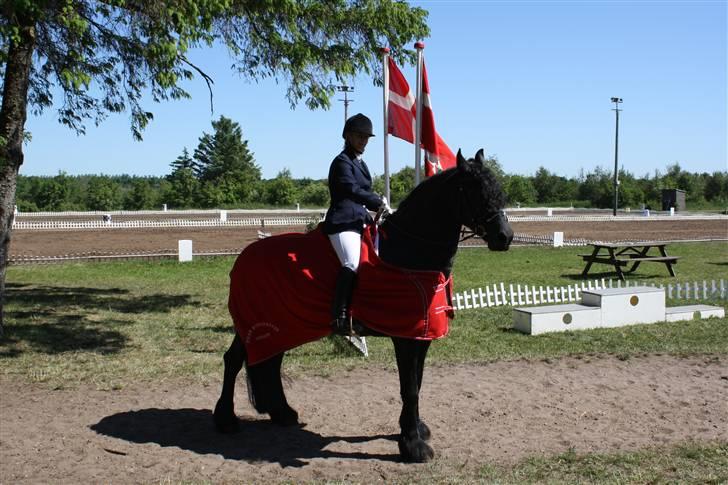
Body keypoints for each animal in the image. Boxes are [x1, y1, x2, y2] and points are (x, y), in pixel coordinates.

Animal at [213, 147, 516, 462]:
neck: (409, 251)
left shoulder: (422, 336)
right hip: (254, 324)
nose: (505, 237)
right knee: (233, 361)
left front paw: (415, 429)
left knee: (271, 361)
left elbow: (417, 382)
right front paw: (412, 445)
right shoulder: (405, 338)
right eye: (475, 190)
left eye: (499, 190)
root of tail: (244, 255)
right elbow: (409, 388)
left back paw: (282, 412)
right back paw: (226, 420)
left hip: (282, 324)